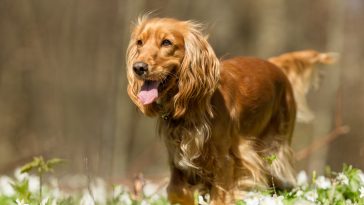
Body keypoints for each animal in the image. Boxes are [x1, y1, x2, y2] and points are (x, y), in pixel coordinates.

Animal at [126, 16, 336, 204]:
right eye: (139, 42)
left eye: (167, 42)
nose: (138, 67)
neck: (192, 108)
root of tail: (275, 64)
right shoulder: (178, 164)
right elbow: (180, 192)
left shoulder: (225, 161)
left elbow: (220, 197)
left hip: (275, 148)